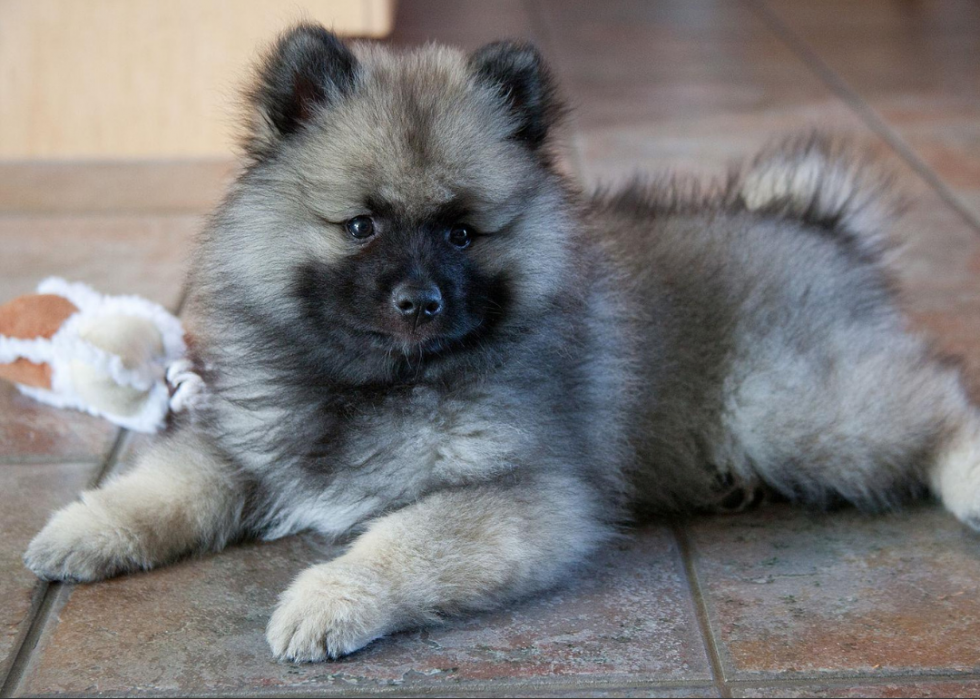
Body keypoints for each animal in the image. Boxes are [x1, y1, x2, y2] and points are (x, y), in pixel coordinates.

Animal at [23, 26, 980, 660]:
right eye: (362, 225)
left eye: (460, 231)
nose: (419, 301)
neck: (376, 383)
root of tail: (819, 226)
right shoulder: (251, 444)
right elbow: (167, 485)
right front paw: (85, 526)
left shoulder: (521, 493)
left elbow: (399, 543)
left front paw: (329, 598)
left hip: (790, 410)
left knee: (938, 401)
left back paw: (969, 477)